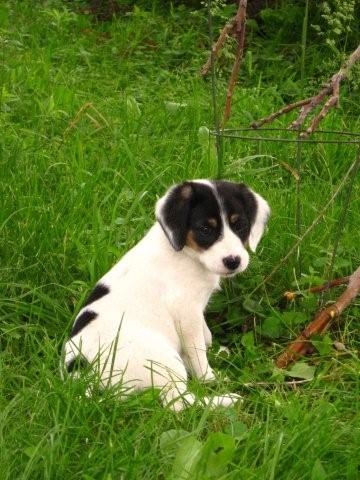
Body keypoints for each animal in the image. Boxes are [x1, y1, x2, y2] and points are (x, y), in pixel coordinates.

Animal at [63, 180, 268, 412]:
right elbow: (197, 350)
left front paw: (215, 351)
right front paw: (209, 377)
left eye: (239, 225)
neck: (187, 254)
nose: (233, 261)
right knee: (179, 402)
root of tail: (81, 371)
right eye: (205, 229)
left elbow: (205, 335)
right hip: (162, 360)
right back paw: (227, 400)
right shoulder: (187, 311)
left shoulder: (197, 309)